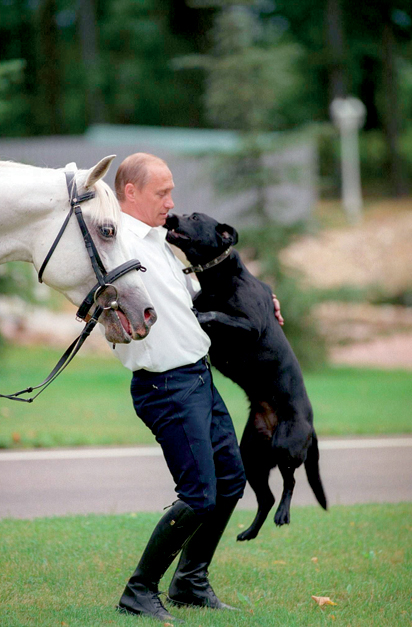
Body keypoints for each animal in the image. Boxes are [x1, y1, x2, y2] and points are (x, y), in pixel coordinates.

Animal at [166, 211, 326, 540]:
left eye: (194, 217)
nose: (171, 216)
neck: (216, 278)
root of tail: (311, 425)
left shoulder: (250, 325)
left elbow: (216, 315)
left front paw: (198, 315)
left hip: (285, 445)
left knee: (290, 483)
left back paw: (283, 515)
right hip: (251, 456)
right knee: (266, 497)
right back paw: (250, 532)